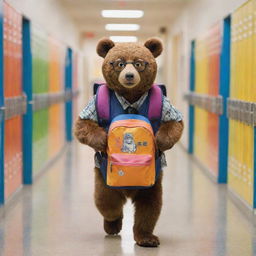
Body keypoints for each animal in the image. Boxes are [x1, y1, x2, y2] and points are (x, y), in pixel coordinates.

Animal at [74, 37, 184, 247]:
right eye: (119, 64)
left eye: (140, 64)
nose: (130, 75)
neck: (130, 98)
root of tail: (129, 190)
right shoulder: (93, 104)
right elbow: (82, 126)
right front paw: (101, 139)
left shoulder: (166, 106)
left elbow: (176, 124)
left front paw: (161, 141)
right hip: (104, 180)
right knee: (107, 202)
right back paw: (113, 223)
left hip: (152, 185)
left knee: (149, 208)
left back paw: (146, 237)